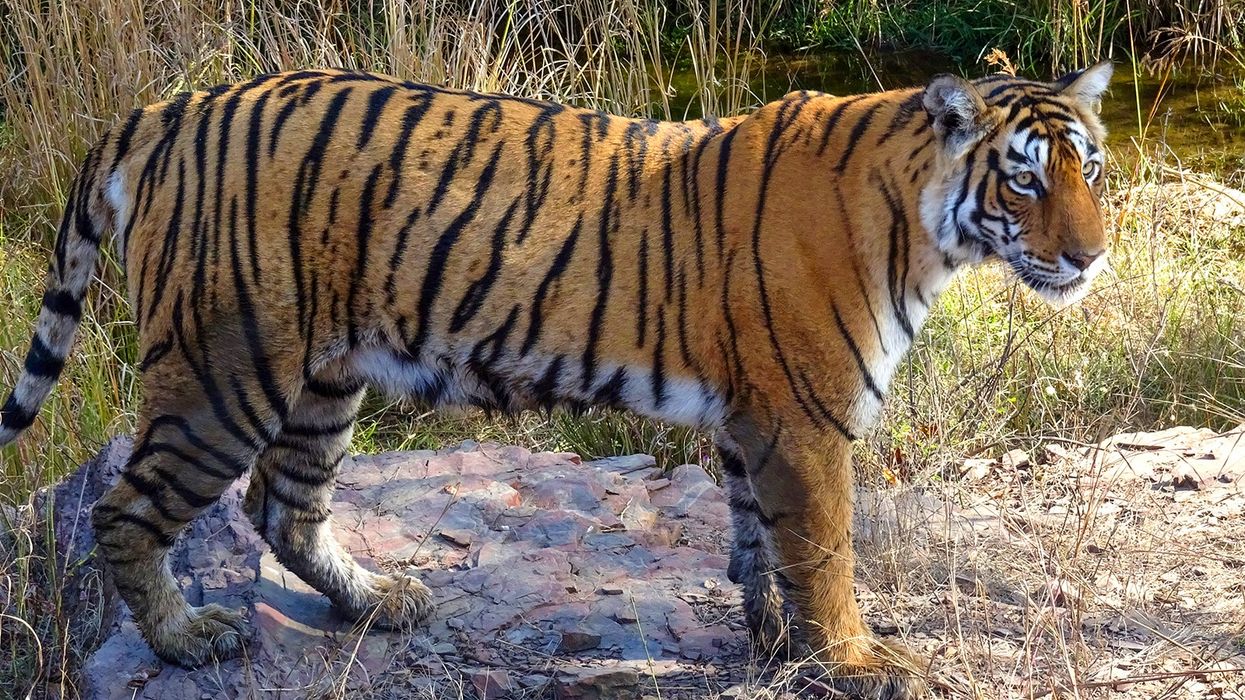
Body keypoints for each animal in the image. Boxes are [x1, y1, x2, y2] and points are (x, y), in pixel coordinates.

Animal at [0, 62, 1112, 697]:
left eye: (1091, 169)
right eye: (1024, 177)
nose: (1092, 257)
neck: (927, 226)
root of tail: (172, 107)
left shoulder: (756, 415)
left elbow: (761, 539)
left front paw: (777, 645)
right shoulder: (806, 416)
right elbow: (826, 549)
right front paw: (854, 661)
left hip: (325, 375)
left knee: (285, 502)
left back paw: (378, 600)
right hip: (225, 373)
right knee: (129, 509)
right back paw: (187, 638)